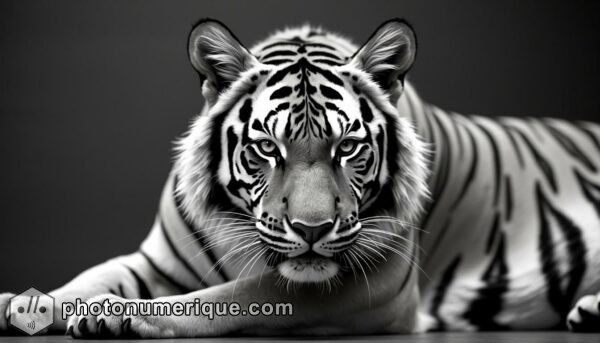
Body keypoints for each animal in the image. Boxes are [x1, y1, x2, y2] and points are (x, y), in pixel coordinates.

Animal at [1, 17, 600, 338]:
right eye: (268, 148)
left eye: (348, 147)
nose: (312, 230)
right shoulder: (155, 260)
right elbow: (92, 277)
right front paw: (28, 305)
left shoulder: (372, 286)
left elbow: (229, 296)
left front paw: (126, 316)